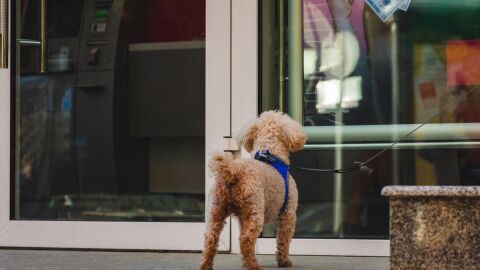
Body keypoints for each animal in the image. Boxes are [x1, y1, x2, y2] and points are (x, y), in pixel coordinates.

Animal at [200, 110, 308, 268]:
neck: (271, 154)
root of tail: (233, 170)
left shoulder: (242, 217)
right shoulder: (288, 213)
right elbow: (283, 240)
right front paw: (284, 261)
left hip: (216, 210)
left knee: (211, 239)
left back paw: (206, 265)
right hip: (255, 210)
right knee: (245, 240)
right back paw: (253, 265)